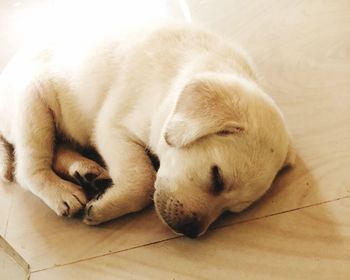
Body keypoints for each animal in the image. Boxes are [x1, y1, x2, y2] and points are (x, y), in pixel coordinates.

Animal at [0, 24, 294, 238]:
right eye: (217, 178)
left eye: (233, 211)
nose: (191, 232)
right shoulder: (113, 128)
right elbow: (142, 178)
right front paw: (105, 208)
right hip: (33, 103)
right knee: (28, 169)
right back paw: (60, 191)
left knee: (58, 148)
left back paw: (85, 171)